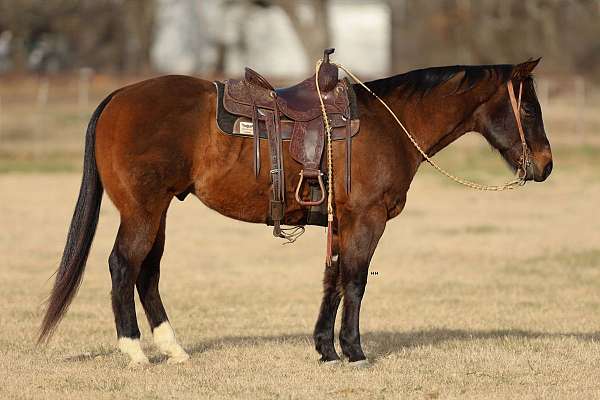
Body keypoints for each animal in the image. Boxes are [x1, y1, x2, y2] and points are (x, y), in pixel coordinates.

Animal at [38, 57, 552, 368]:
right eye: (528, 108)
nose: (546, 165)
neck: (390, 124)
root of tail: (118, 98)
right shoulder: (366, 219)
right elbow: (354, 281)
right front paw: (354, 350)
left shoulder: (342, 223)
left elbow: (332, 280)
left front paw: (326, 348)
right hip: (142, 211)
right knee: (123, 265)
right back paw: (134, 351)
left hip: (158, 210)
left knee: (147, 272)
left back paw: (173, 348)